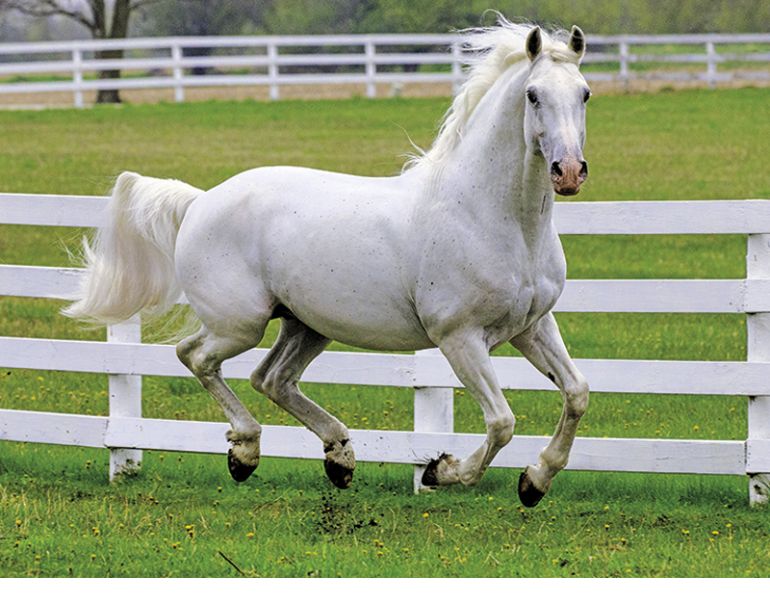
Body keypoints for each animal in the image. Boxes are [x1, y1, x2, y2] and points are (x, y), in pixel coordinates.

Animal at [64, 20, 591, 508]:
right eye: (533, 95)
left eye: (585, 93)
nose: (568, 172)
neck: (492, 217)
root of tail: (199, 201)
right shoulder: (459, 337)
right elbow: (502, 422)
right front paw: (441, 471)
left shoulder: (532, 326)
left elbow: (577, 392)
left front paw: (535, 481)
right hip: (240, 324)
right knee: (196, 357)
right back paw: (245, 453)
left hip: (305, 324)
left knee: (271, 378)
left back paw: (339, 458)